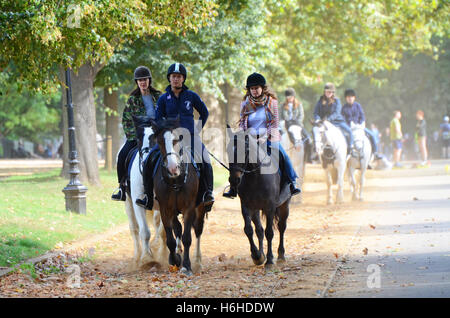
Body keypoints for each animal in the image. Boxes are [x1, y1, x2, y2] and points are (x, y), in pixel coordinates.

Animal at [119, 118, 169, 270]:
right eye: (138, 139)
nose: (147, 159)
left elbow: (163, 231)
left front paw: (163, 255)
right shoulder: (138, 202)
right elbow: (145, 231)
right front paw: (147, 258)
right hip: (128, 203)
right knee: (134, 229)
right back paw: (137, 256)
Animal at [151, 118, 207, 274]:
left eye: (177, 139)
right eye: (159, 141)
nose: (172, 168)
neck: (176, 181)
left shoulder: (189, 208)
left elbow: (187, 237)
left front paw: (187, 266)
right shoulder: (165, 209)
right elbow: (170, 238)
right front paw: (175, 259)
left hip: (200, 208)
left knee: (198, 230)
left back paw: (198, 261)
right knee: (177, 228)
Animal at [225, 126, 292, 268]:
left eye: (245, 150)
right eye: (228, 150)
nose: (234, 180)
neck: (255, 177)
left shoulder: (270, 207)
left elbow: (269, 232)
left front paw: (270, 260)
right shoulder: (246, 206)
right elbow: (249, 230)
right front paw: (257, 256)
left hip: (284, 206)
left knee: (281, 227)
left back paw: (281, 255)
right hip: (256, 209)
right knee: (259, 230)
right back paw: (261, 255)